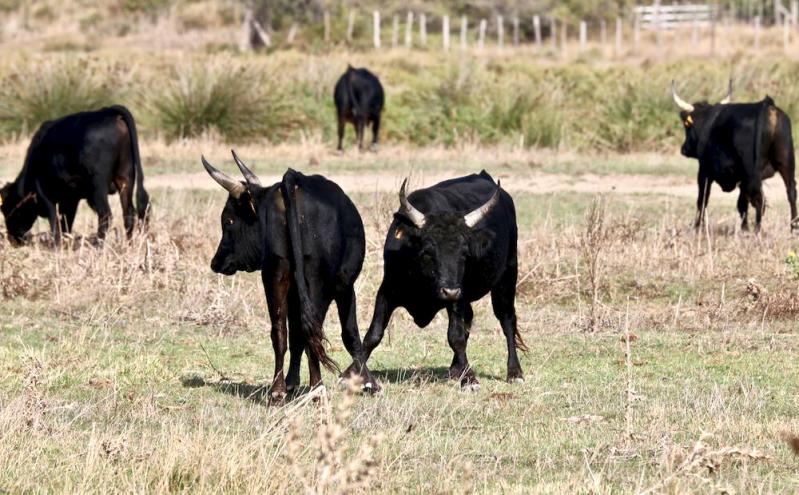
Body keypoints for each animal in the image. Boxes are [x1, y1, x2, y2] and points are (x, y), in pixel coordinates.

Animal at [0, 105, 149, 245]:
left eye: (7, 209)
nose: (12, 239)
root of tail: (108, 111)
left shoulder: (46, 195)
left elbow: (55, 224)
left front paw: (56, 248)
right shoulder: (71, 198)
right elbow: (66, 223)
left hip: (98, 184)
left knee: (105, 215)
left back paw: (98, 246)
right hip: (126, 176)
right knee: (129, 213)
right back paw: (130, 246)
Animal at [198, 152, 376, 404]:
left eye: (228, 221)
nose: (215, 262)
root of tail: (292, 179)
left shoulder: (291, 290)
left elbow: (294, 335)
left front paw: (291, 381)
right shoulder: (345, 286)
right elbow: (349, 333)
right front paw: (368, 381)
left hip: (275, 273)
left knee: (280, 331)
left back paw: (278, 390)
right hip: (315, 281)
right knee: (313, 332)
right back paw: (317, 389)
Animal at [346, 171, 528, 392]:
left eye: (465, 253)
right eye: (428, 252)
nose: (449, 291)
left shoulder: (457, 297)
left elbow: (456, 337)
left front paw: (470, 380)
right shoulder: (387, 291)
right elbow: (374, 334)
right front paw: (351, 373)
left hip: (507, 277)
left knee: (507, 320)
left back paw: (514, 372)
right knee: (470, 320)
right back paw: (455, 369)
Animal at [672, 80, 796, 232]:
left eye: (686, 125)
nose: (684, 149)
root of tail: (767, 105)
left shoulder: (704, 171)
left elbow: (702, 200)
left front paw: (697, 228)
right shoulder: (741, 179)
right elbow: (741, 204)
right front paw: (744, 228)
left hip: (752, 173)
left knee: (759, 199)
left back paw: (758, 230)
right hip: (786, 162)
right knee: (790, 192)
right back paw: (793, 227)